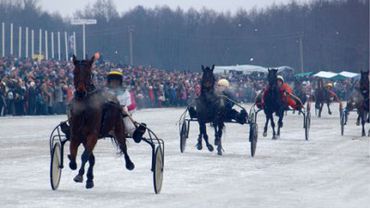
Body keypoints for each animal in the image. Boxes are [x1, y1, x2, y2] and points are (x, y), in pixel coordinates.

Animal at [67, 54, 134, 188]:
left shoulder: (93, 133)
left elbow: (85, 155)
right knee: (91, 158)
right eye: (75, 72)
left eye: (89, 73)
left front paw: (79, 175)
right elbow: (74, 156)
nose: (81, 92)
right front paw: (75, 165)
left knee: (123, 146)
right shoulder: (76, 134)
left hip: (118, 125)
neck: (84, 108)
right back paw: (89, 178)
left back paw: (129, 163)